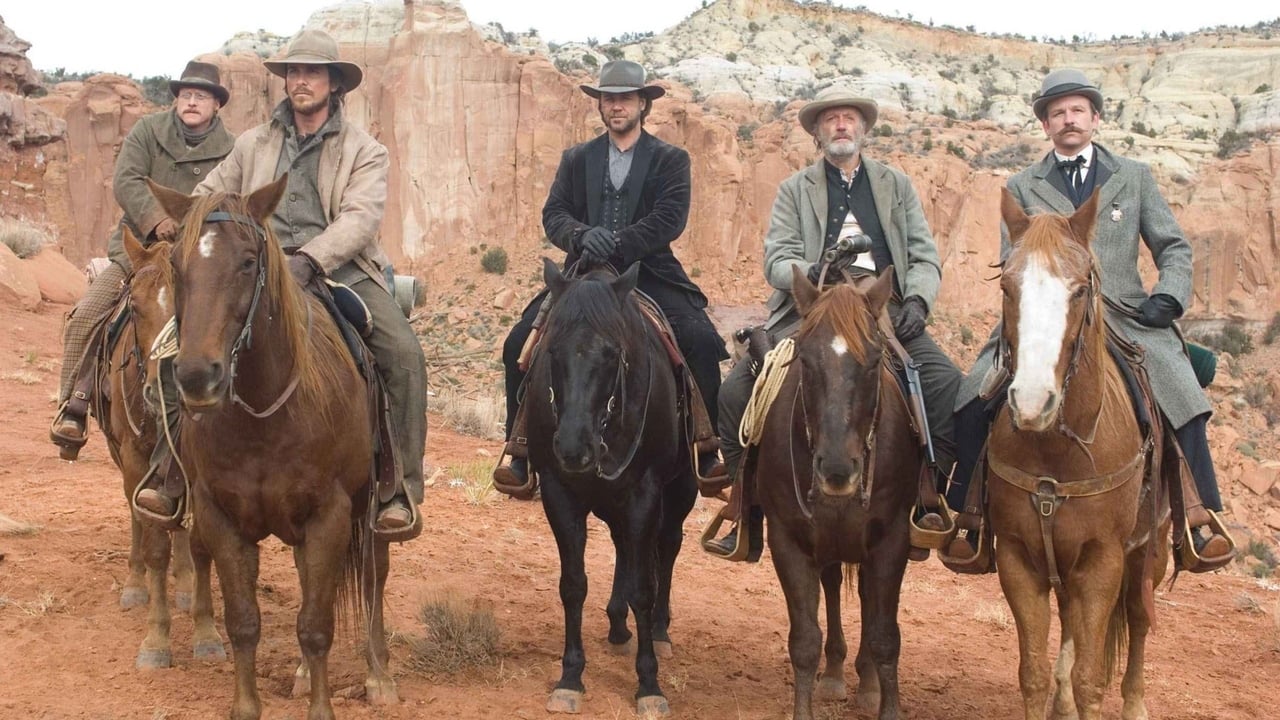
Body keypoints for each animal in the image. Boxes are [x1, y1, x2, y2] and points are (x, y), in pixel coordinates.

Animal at [93, 228, 224, 666]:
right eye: (135, 306)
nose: (161, 386)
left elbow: (200, 545)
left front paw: (206, 630)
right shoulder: (135, 459)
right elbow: (154, 547)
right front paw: (156, 640)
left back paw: (183, 585)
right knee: (140, 516)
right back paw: (136, 585)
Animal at [147, 175, 394, 717]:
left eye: (246, 261)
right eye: (176, 264)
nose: (197, 376)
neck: (265, 414)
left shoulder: (329, 516)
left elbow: (316, 626)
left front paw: (322, 708)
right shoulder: (221, 516)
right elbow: (244, 622)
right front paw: (246, 706)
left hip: (372, 512)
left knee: (374, 575)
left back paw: (378, 674)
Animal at [522, 256, 696, 712]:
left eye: (612, 353)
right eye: (552, 349)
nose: (572, 445)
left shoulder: (645, 493)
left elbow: (643, 588)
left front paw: (649, 684)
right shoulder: (559, 493)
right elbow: (573, 584)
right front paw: (570, 677)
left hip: (679, 493)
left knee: (667, 548)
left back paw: (659, 630)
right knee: (623, 546)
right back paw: (618, 624)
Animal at [747, 267, 921, 717]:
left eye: (875, 361)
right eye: (805, 360)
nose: (838, 470)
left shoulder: (891, 542)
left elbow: (885, 636)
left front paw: (886, 703)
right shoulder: (788, 541)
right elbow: (804, 641)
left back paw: (867, 681)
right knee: (832, 587)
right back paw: (836, 672)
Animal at [988, 185, 1172, 717]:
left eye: (1079, 290)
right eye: (1007, 286)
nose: (1032, 402)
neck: (1056, 454)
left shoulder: (1103, 562)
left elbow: (1092, 678)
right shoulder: (1018, 558)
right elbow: (1033, 673)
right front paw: (1053, 696)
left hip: (1150, 552)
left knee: (1140, 618)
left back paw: (1134, 703)